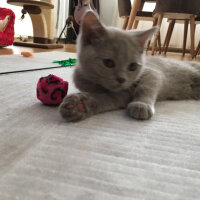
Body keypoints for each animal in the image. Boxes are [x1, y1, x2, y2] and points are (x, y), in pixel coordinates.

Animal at [59, 11, 200, 122]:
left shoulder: (152, 72)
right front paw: (80, 105)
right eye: (108, 63)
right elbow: (109, 99)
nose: (121, 79)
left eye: (132, 66)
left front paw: (141, 105)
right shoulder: (121, 93)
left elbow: (146, 86)